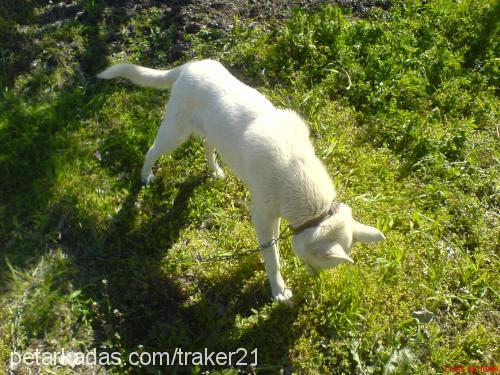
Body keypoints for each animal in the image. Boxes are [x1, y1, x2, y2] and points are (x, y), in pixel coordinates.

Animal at [98, 61, 386, 302]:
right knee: (151, 151)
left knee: (207, 144)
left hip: (208, 130)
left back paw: (215, 171)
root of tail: (189, 65)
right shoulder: (262, 218)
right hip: (174, 134)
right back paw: (145, 176)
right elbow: (272, 257)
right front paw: (279, 290)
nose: (314, 279)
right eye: (320, 263)